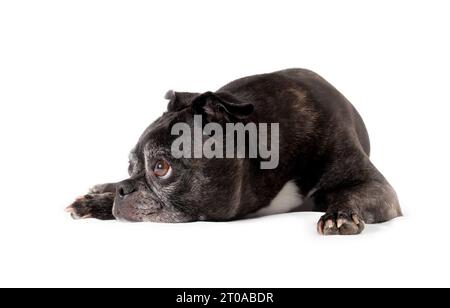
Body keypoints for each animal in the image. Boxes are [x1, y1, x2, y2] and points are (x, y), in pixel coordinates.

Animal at [66, 68, 400, 235]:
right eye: (129, 166)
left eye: (161, 167)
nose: (124, 188)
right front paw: (104, 196)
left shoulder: (376, 187)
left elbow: (351, 194)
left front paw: (340, 213)